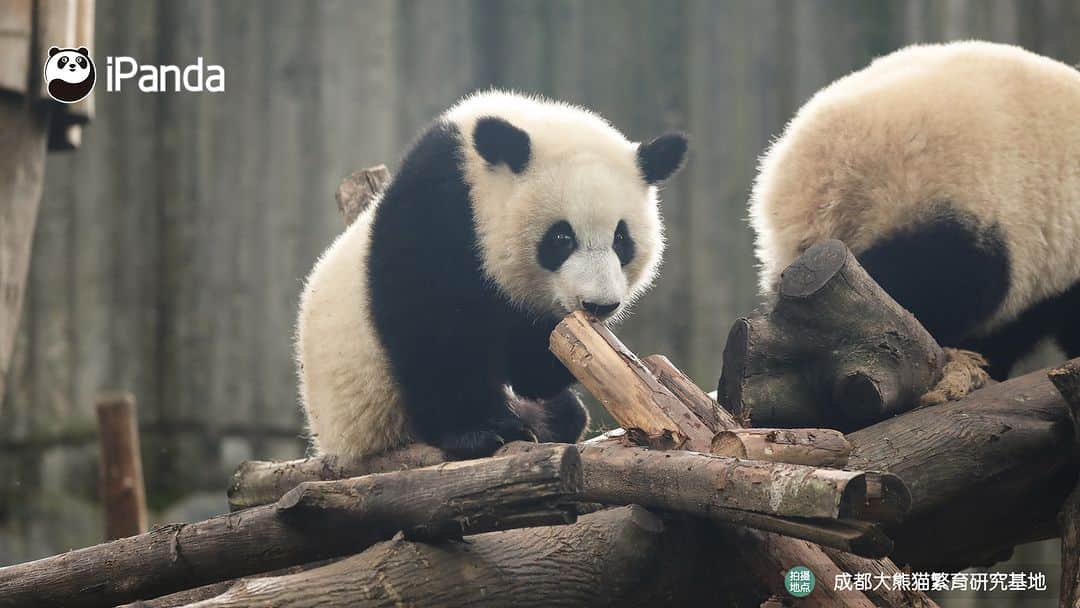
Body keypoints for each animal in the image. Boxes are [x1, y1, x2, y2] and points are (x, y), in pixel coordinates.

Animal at [295, 90, 682, 460]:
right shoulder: (436, 209)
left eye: (621, 239)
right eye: (561, 238)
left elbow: (532, 373)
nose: (599, 305)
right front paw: (476, 433)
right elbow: (430, 325)